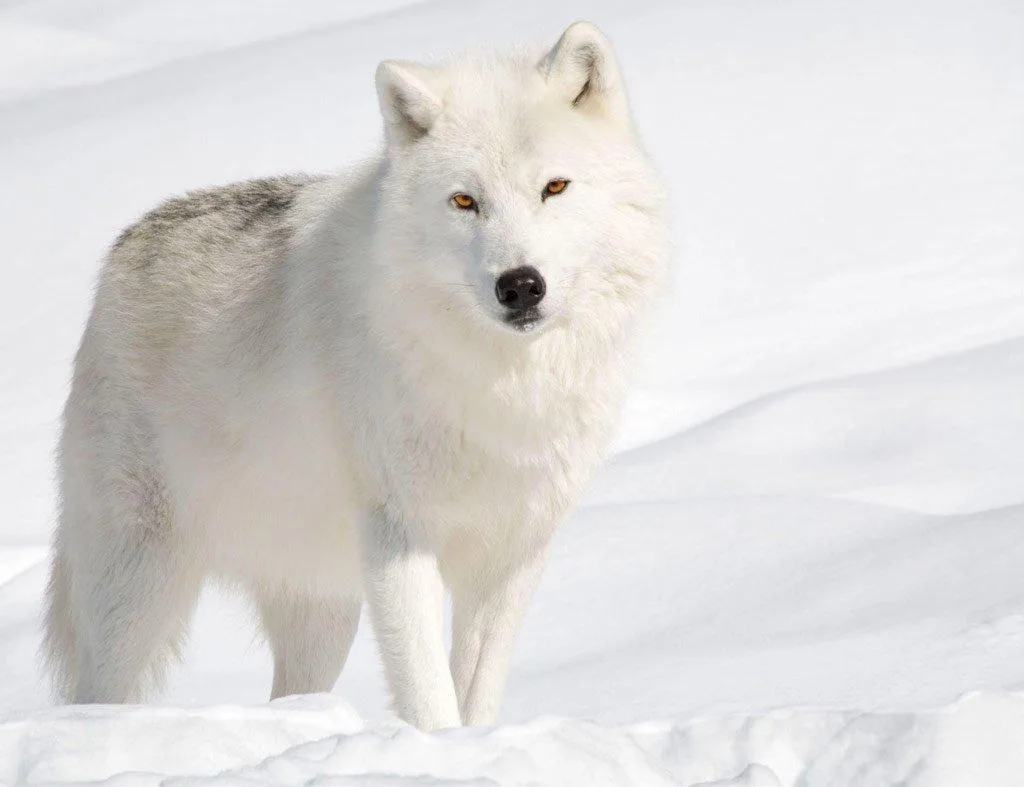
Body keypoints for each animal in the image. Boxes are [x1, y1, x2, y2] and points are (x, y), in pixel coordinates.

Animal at [43, 22, 667, 730]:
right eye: (465, 201)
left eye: (555, 188)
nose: (519, 286)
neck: (501, 387)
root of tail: (126, 242)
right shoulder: (399, 537)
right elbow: (428, 693)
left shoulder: (512, 554)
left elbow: (477, 695)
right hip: (141, 589)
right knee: (95, 694)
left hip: (322, 608)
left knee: (292, 694)